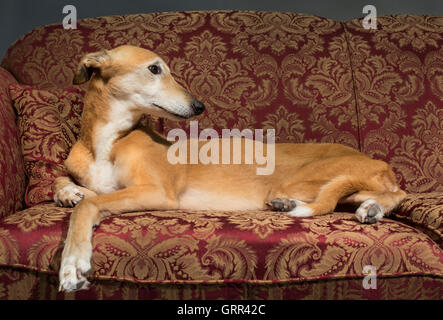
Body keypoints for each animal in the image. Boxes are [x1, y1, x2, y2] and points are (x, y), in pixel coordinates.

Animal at [53, 45, 408, 292]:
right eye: (154, 69)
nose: (199, 106)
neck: (108, 140)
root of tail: (380, 162)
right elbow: (69, 185)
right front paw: (69, 192)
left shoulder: (157, 192)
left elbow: (88, 206)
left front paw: (73, 264)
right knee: (381, 195)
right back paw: (359, 207)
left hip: (307, 178)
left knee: (391, 193)